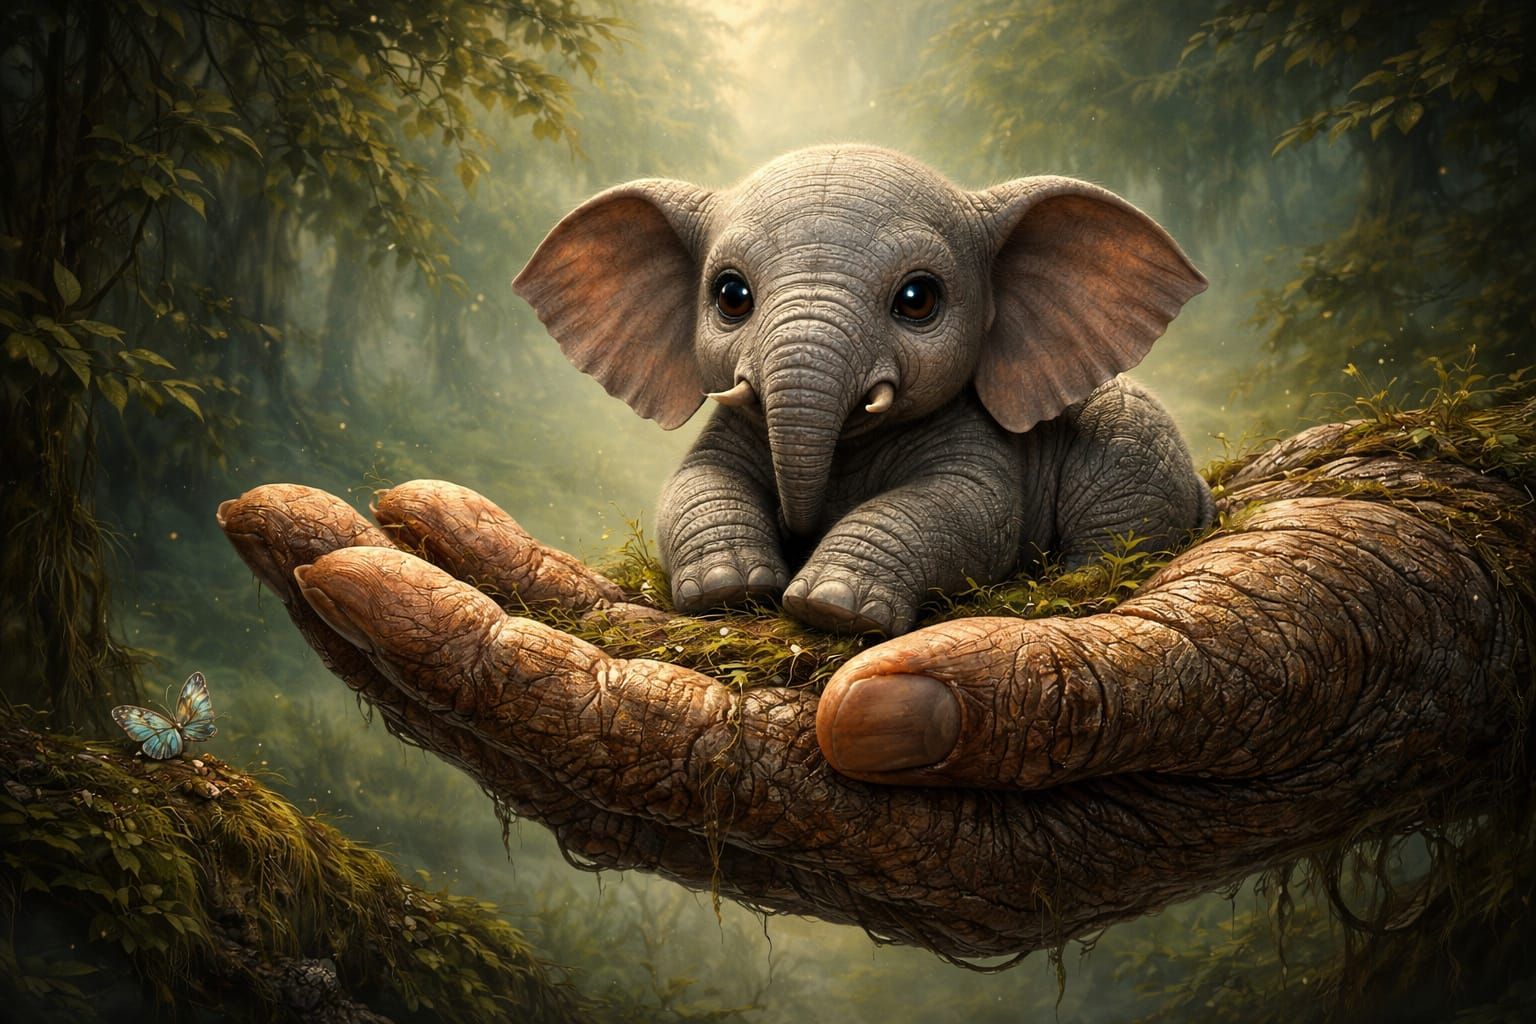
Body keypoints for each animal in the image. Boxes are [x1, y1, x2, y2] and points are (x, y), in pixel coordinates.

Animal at [512, 145, 1213, 636]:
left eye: (919, 299)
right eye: (731, 296)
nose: (797, 529)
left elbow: (967, 509)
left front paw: (832, 608)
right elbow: (695, 483)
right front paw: (728, 590)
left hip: (1134, 446)